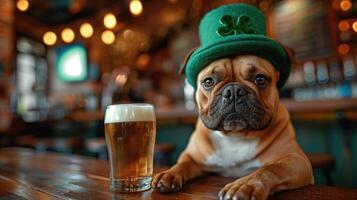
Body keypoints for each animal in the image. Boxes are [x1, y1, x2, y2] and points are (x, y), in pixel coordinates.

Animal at [152, 54, 312, 200]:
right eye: (208, 81)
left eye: (260, 79)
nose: (234, 91)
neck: (235, 135)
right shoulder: (192, 157)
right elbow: (182, 164)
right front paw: (169, 173)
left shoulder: (296, 160)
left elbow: (270, 168)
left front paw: (245, 185)